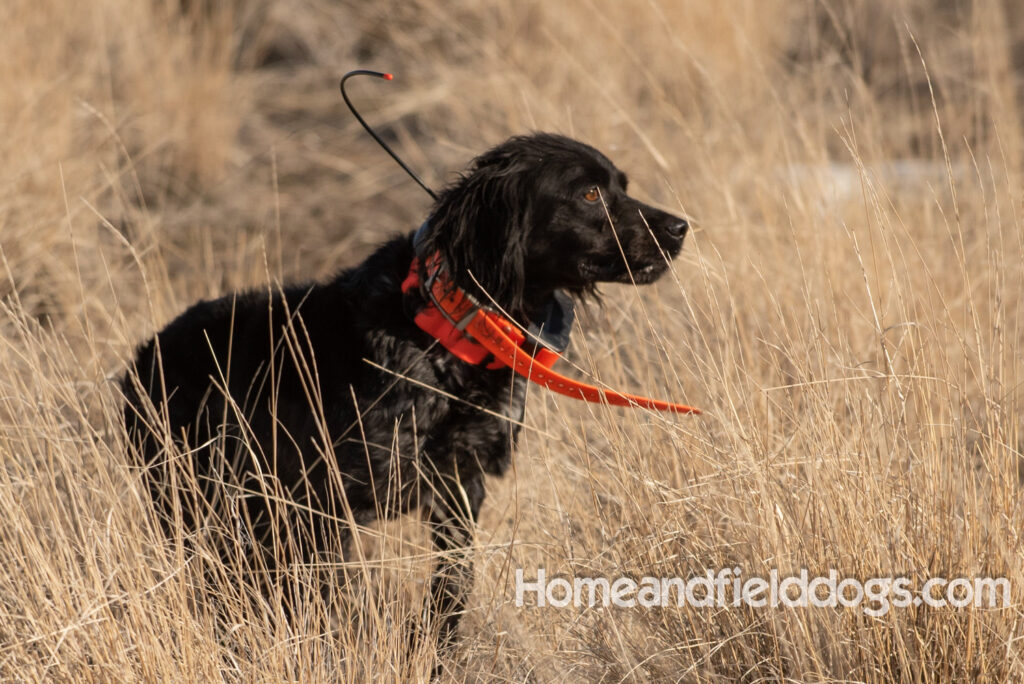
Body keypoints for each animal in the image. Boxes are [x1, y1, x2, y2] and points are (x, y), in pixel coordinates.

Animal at [123, 132, 692, 647]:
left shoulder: (461, 484)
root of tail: (143, 356)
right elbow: (329, 598)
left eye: (621, 186)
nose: (680, 227)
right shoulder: (329, 501)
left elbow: (451, 588)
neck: (447, 338)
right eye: (590, 194)